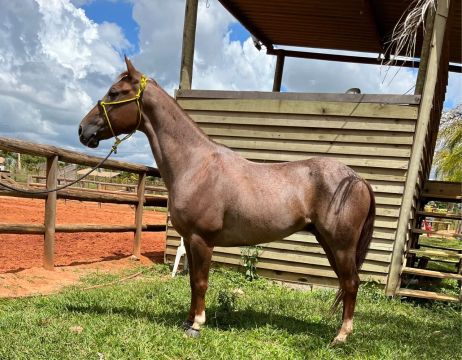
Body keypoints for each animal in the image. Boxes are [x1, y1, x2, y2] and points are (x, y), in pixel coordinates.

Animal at [79, 57, 376, 346]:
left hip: (341, 246)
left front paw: (197, 325)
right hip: (329, 243)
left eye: (114, 92)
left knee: (351, 283)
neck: (195, 165)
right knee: (346, 283)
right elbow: (191, 282)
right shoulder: (190, 239)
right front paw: (188, 320)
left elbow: (201, 282)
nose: (83, 130)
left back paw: (341, 336)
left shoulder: (202, 239)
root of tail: (357, 179)